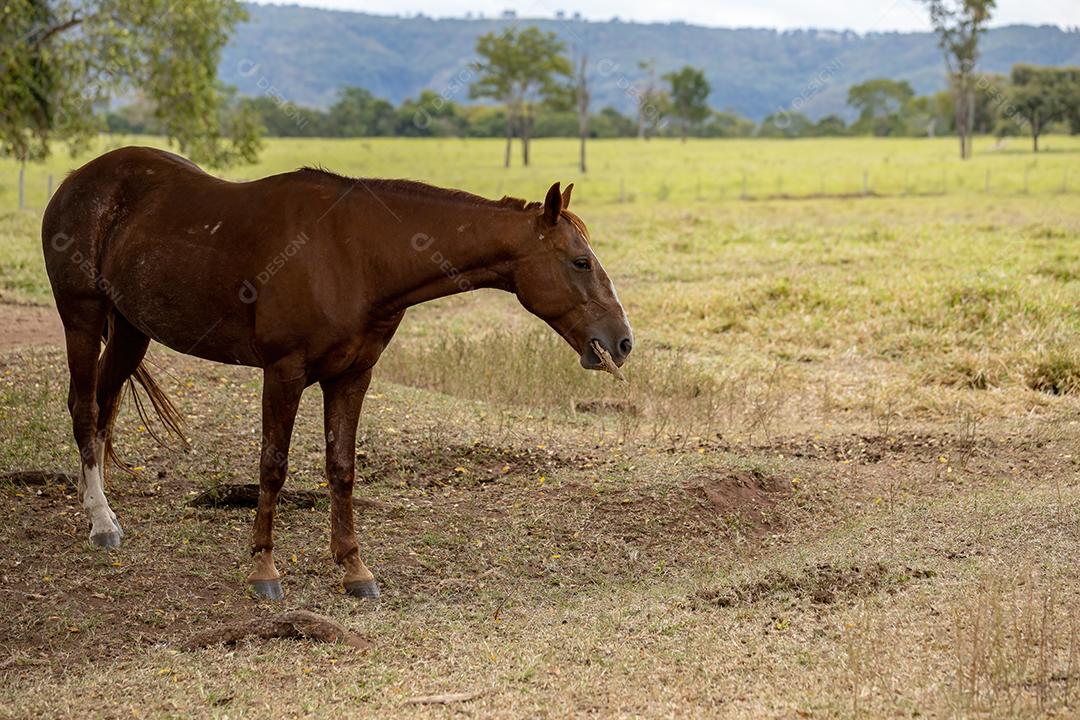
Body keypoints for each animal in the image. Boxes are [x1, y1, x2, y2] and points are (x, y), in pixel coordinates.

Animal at [41, 146, 633, 600]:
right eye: (580, 261)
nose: (621, 341)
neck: (358, 257)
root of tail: (76, 180)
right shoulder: (282, 372)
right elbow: (273, 467)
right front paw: (263, 569)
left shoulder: (352, 377)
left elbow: (342, 469)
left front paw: (354, 568)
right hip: (82, 317)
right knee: (84, 408)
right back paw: (100, 521)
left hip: (130, 330)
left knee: (103, 407)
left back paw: (99, 507)